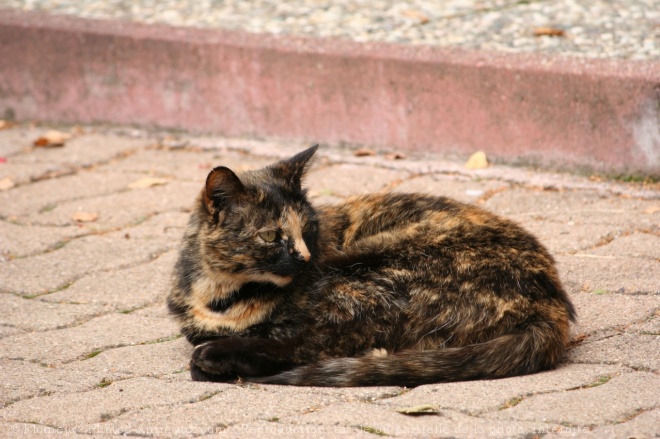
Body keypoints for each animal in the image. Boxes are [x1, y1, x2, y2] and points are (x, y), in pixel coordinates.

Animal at [168, 146, 576, 386]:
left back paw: (215, 360)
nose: (305, 258)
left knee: (323, 346)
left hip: (363, 272)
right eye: (270, 236)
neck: (222, 294)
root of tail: (551, 302)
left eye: (308, 228)